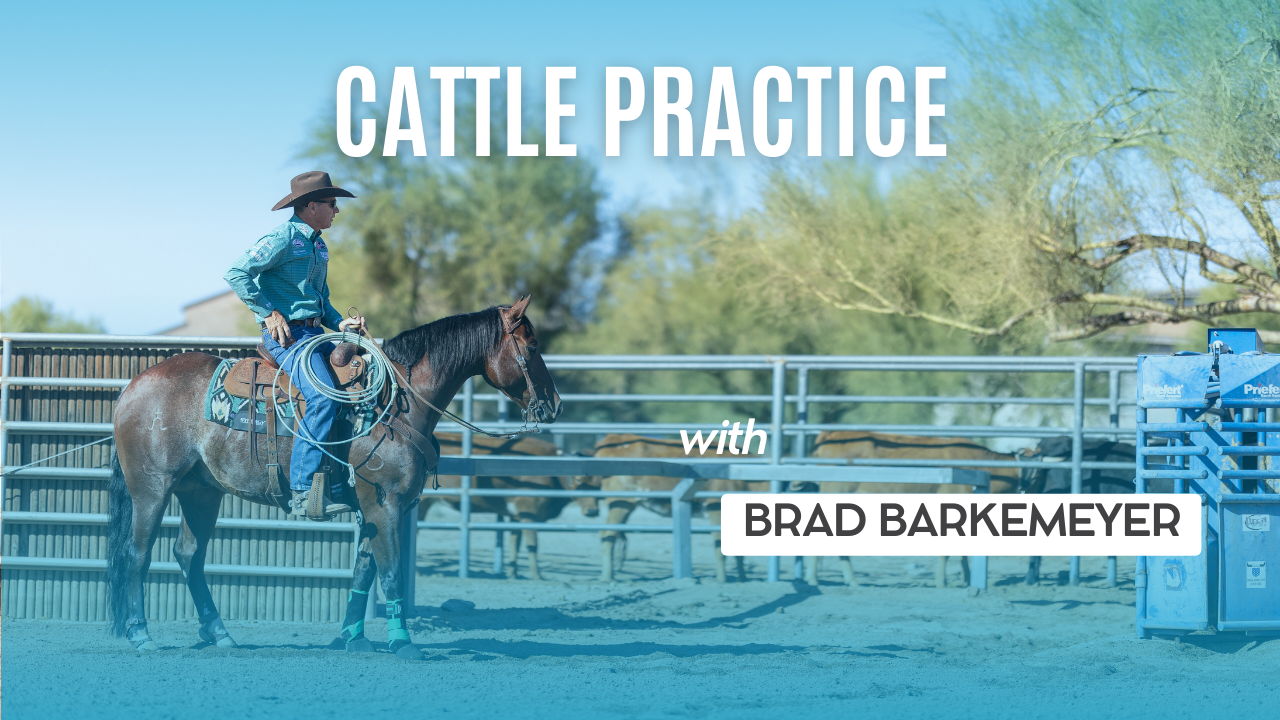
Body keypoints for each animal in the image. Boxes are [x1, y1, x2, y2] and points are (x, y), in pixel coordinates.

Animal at [420, 432, 584, 580]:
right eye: (580, 479)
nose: (590, 510)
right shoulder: (528, 512)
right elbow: (532, 544)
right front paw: (537, 575)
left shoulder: (516, 516)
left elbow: (515, 542)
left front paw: (513, 573)